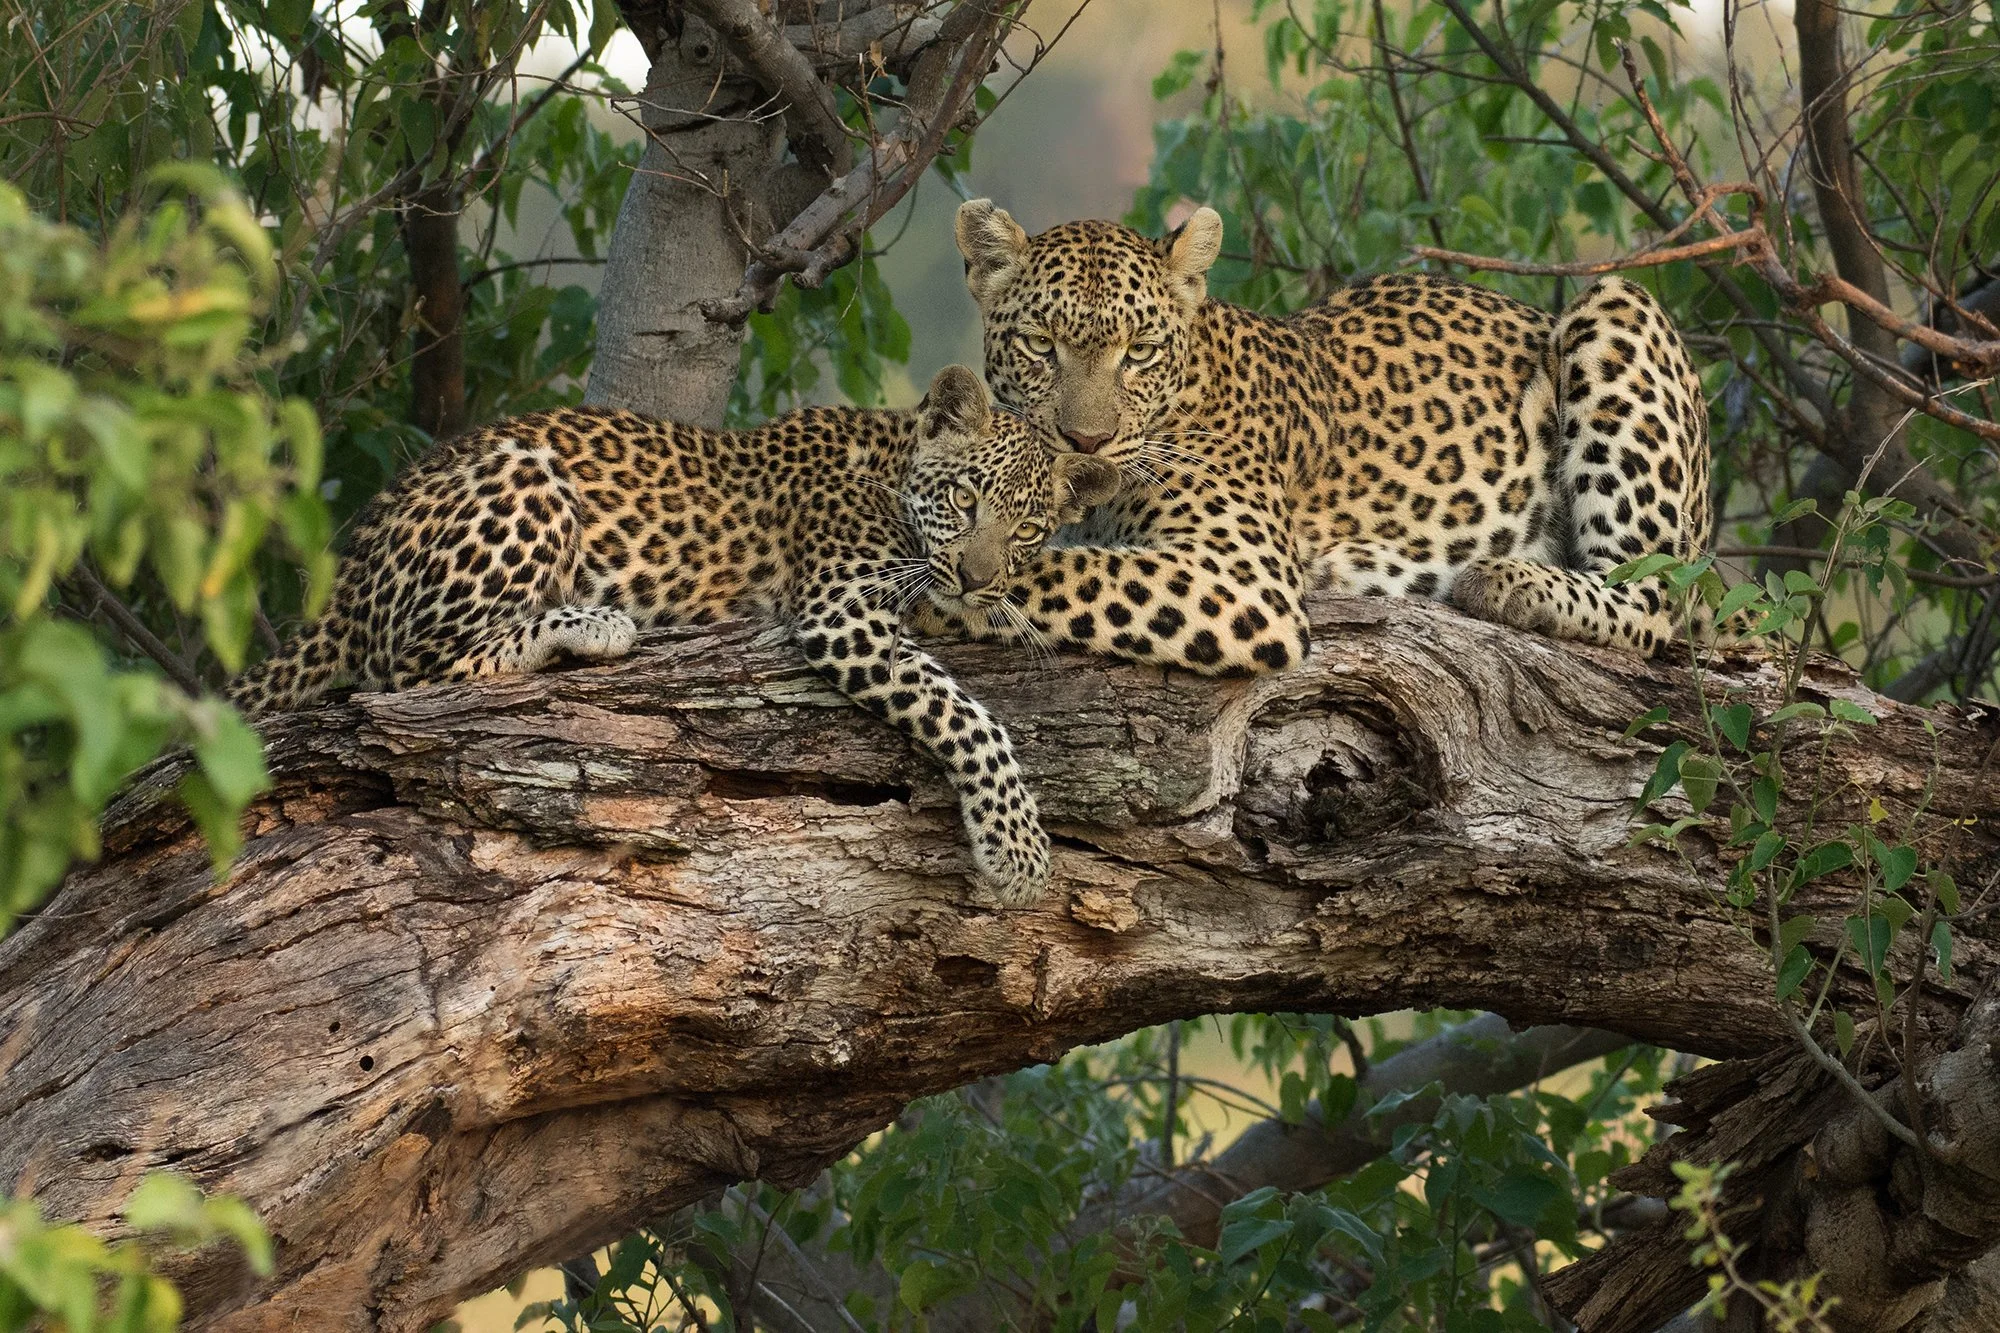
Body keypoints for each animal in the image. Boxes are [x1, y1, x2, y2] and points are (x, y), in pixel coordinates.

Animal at [227, 365, 1121, 904]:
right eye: (966, 498)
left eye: (1028, 528)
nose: (976, 577)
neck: (893, 465)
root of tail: (349, 570)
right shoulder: (842, 614)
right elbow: (966, 715)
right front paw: (1019, 852)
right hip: (524, 477)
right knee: (410, 671)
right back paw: (592, 625)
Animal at [913, 198, 1715, 675]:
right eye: (1040, 345)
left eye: (1138, 351)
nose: (1084, 441)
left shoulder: (1243, 576)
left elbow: (1060, 570)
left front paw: (932, 593)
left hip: (1617, 303)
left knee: (1656, 598)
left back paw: (1506, 581)